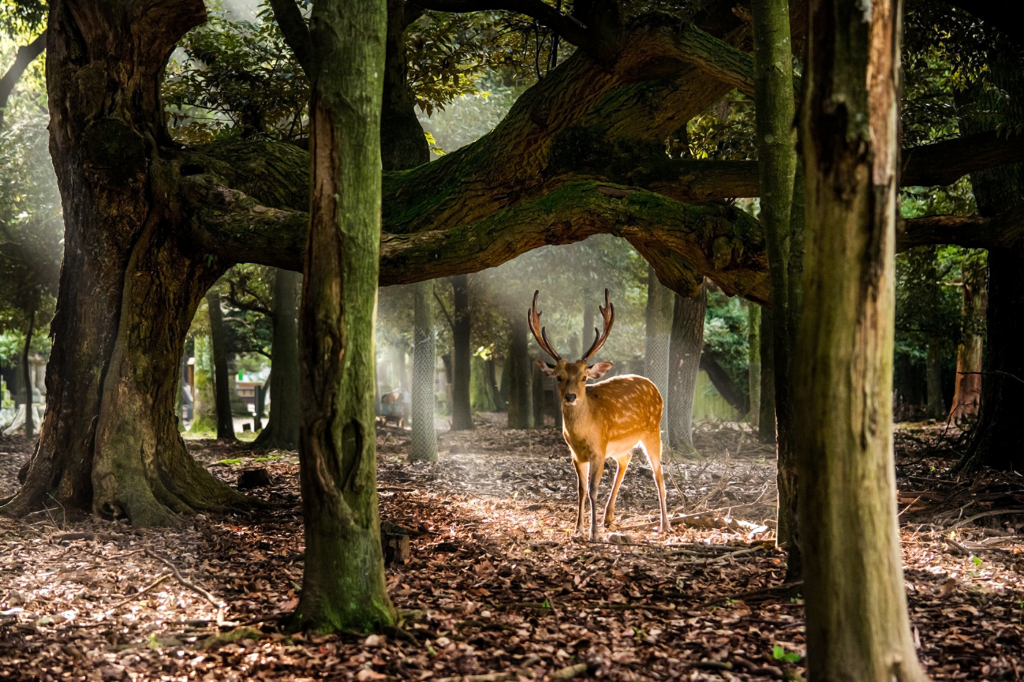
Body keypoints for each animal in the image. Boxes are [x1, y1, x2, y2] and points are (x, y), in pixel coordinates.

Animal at [528, 288, 671, 540]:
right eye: (559, 377)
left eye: (584, 377)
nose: (571, 396)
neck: (582, 434)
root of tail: (655, 388)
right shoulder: (576, 455)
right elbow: (581, 490)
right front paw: (578, 529)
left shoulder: (599, 449)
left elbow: (594, 490)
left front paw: (592, 533)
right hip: (619, 446)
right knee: (626, 460)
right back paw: (609, 517)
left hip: (653, 431)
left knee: (658, 474)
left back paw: (664, 525)